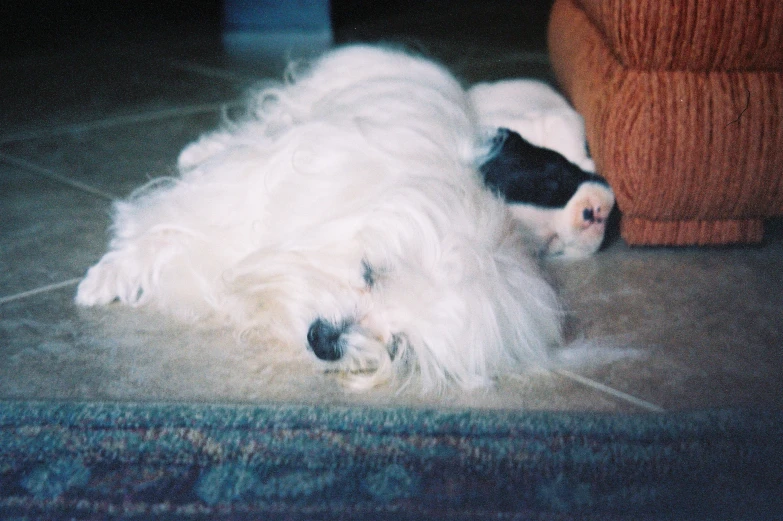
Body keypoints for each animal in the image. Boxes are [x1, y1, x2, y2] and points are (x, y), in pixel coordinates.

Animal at [75, 45, 564, 390]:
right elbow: (156, 231)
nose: (326, 341)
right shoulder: (236, 199)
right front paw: (105, 278)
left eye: (399, 345)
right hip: (300, 101)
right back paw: (199, 150)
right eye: (370, 272)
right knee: (254, 123)